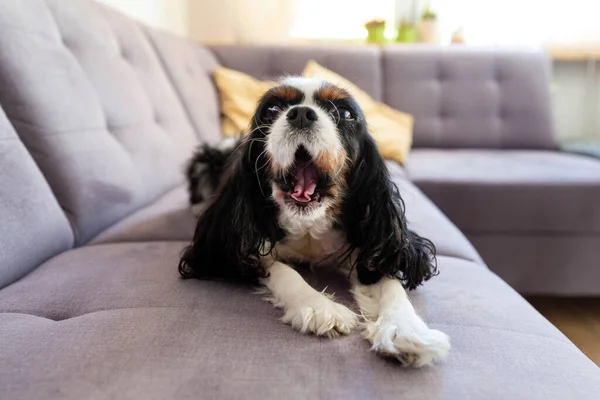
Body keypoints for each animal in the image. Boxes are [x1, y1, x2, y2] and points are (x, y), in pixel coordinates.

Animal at [178, 76, 450, 368]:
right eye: (273, 109)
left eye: (344, 113)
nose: (300, 114)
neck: (309, 224)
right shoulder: (237, 244)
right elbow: (280, 269)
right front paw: (319, 306)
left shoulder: (374, 244)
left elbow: (388, 280)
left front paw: (407, 330)